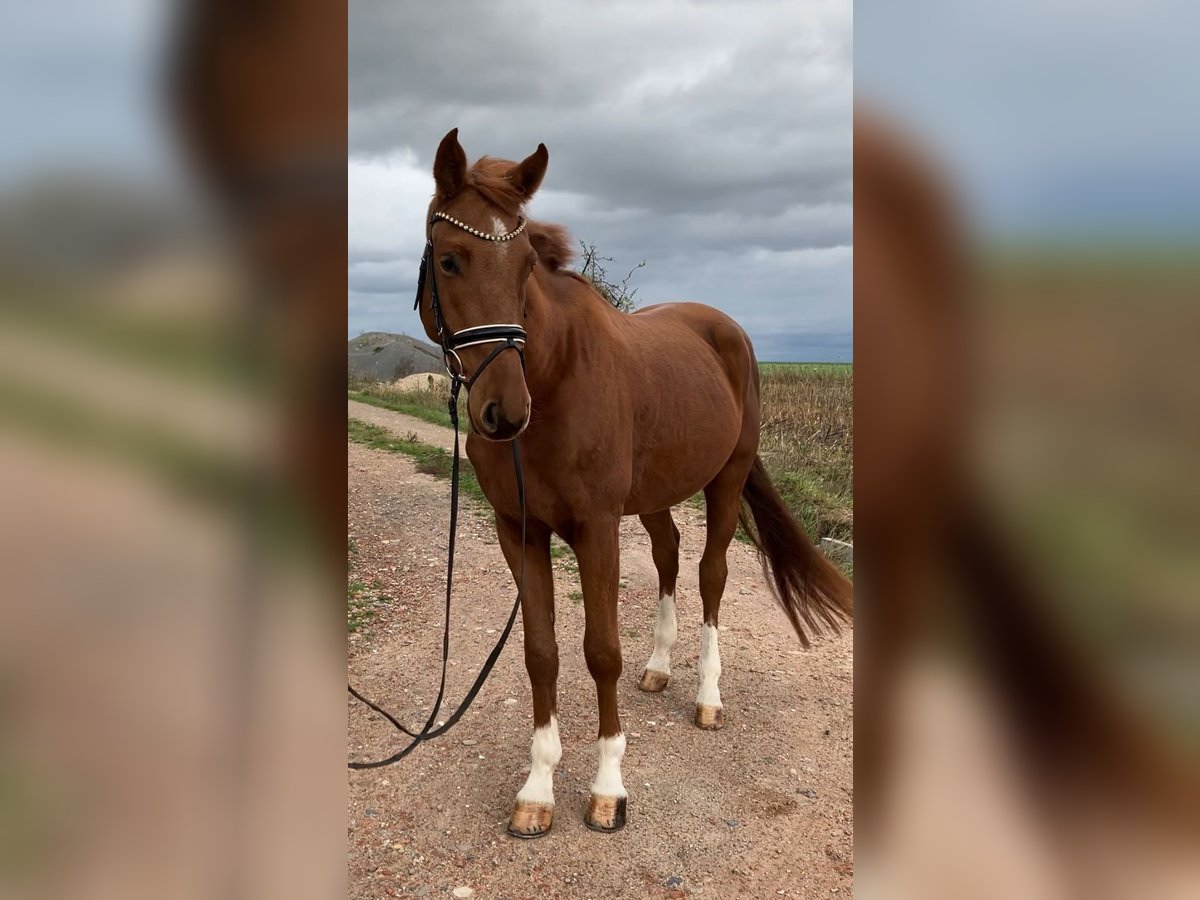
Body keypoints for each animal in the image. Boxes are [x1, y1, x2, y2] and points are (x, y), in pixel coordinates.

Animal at [414, 129, 853, 837]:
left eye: (526, 268)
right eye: (450, 261)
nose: (504, 413)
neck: (555, 377)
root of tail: (728, 330)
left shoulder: (596, 529)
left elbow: (600, 652)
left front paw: (607, 790)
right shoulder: (519, 530)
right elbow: (542, 652)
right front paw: (537, 789)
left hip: (726, 482)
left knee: (709, 575)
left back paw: (707, 697)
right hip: (655, 495)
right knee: (669, 553)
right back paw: (658, 669)